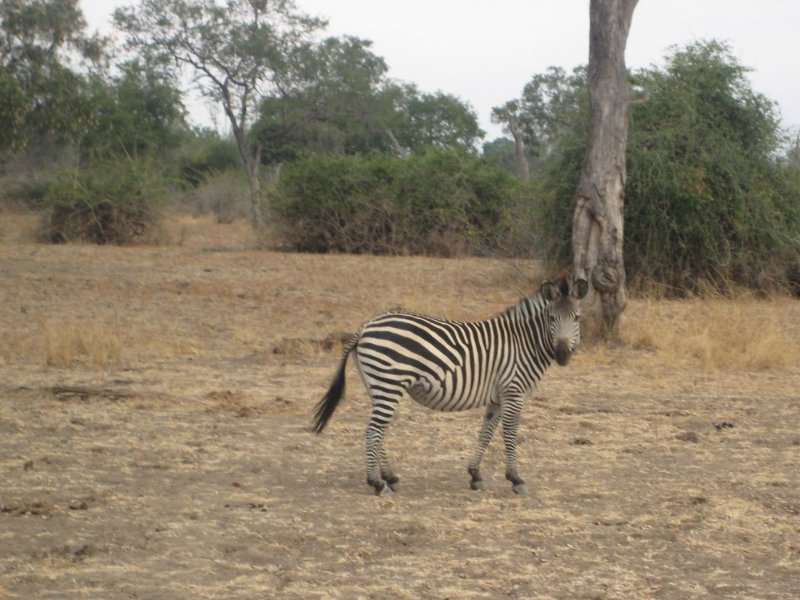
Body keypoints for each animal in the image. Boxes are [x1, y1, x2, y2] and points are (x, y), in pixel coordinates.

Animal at [312, 274, 588, 494]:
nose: (562, 354)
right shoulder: (514, 391)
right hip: (389, 383)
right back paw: (377, 483)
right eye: (551, 318)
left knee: (379, 432)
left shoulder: (498, 397)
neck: (524, 343)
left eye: (577, 318)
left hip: (377, 385)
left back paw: (389, 477)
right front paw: (516, 479)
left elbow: (486, 433)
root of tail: (365, 327)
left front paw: (475, 475)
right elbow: (510, 434)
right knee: (373, 431)